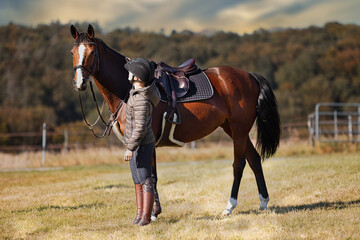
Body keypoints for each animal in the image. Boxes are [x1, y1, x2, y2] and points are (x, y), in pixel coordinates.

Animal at [69, 25, 280, 218]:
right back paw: (263, 203)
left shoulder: (147, 140)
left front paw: (152, 214)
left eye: (92, 52)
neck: (130, 88)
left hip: (239, 129)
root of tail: (249, 76)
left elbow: (150, 176)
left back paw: (229, 207)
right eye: (72, 52)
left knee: (239, 164)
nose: (79, 83)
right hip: (233, 128)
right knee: (254, 159)